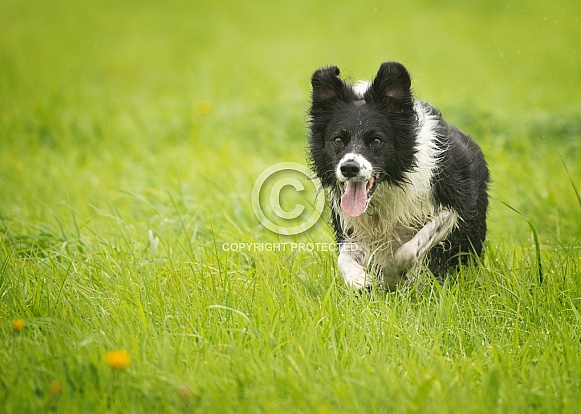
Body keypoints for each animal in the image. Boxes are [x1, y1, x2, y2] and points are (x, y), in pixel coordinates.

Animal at [308, 62, 490, 292]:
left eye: (376, 140)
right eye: (338, 140)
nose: (349, 168)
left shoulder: (455, 205)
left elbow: (410, 248)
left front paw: (392, 274)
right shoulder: (350, 224)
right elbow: (344, 257)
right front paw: (358, 278)